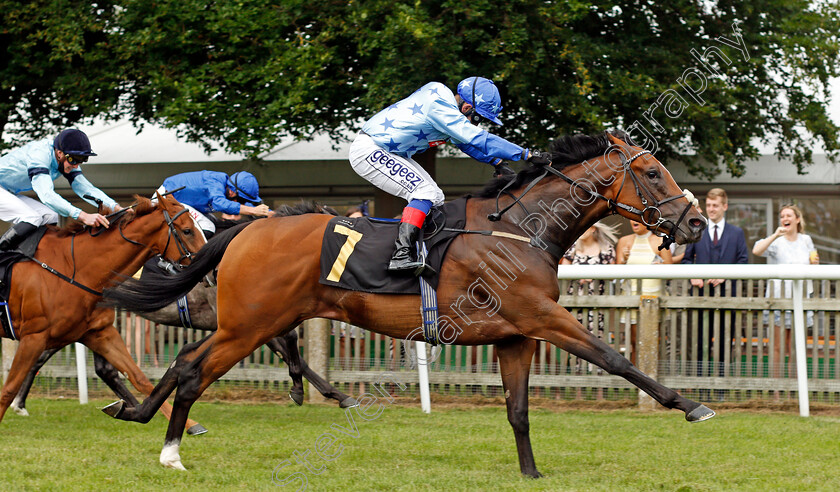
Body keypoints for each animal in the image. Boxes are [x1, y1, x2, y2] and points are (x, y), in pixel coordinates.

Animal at [0, 194, 208, 432]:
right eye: (187, 231)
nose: (211, 265)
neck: (75, 268)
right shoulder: (33, 337)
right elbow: (7, 390)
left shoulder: (98, 333)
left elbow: (138, 377)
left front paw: (190, 424)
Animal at [101, 132, 712, 476]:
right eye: (652, 172)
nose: (695, 224)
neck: (517, 229)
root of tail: (245, 230)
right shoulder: (542, 316)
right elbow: (615, 358)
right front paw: (690, 405)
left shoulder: (515, 334)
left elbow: (517, 411)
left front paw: (531, 475)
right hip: (249, 325)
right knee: (193, 373)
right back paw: (171, 451)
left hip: (249, 322)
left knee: (183, 363)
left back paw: (137, 413)